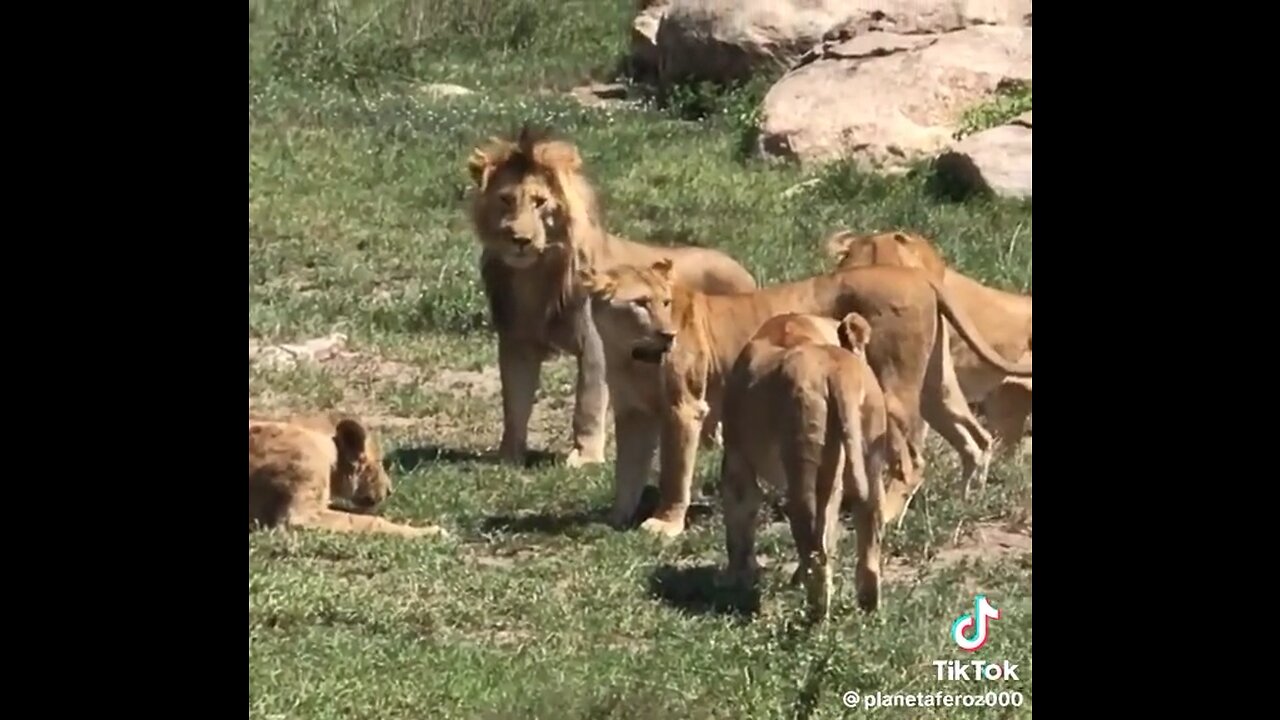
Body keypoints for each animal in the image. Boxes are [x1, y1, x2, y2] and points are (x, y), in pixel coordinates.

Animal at [465, 126, 752, 468]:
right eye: (506, 200)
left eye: (539, 202)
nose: (519, 240)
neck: (534, 277)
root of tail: (743, 270)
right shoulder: (517, 341)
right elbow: (514, 402)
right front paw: (509, 456)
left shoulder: (592, 343)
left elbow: (586, 402)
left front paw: (584, 457)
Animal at [581, 257, 1029, 532]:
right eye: (641, 303)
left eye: (665, 302)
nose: (668, 334)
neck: (628, 353)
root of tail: (920, 277)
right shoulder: (633, 413)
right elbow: (627, 470)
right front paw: (616, 518)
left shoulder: (684, 407)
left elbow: (674, 472)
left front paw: (664, 525)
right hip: (936, 386)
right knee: (976, 438)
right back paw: (967, 501)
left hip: (891, 386)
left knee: (914, 460)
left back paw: (885, 515)